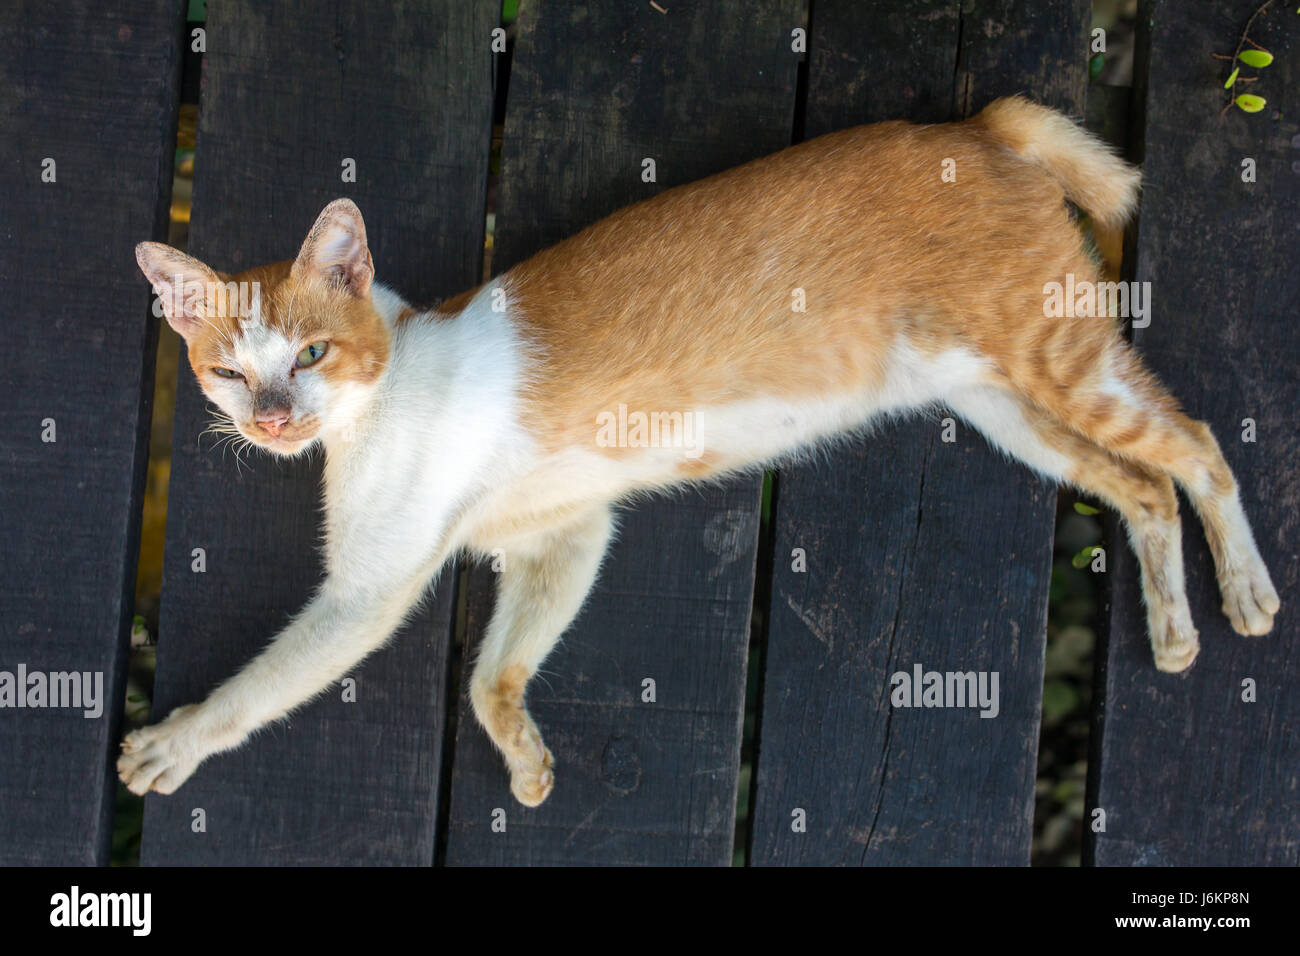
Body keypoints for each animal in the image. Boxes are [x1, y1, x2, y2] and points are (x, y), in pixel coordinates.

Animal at [122, 97, 1279, 806]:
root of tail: (977, 121)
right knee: (1143, 489)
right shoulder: (568, 533)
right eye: (229, 372)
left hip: (1059, 361)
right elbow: (497, 668)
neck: (385, 385)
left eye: (311, 353)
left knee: (1198, 446)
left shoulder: (368, 591)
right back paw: (1175, 630)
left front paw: (176, 740)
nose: (273, 417)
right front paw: (525, 758)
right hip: (1006, 407)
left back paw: (1247, 591)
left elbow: (266, 683)